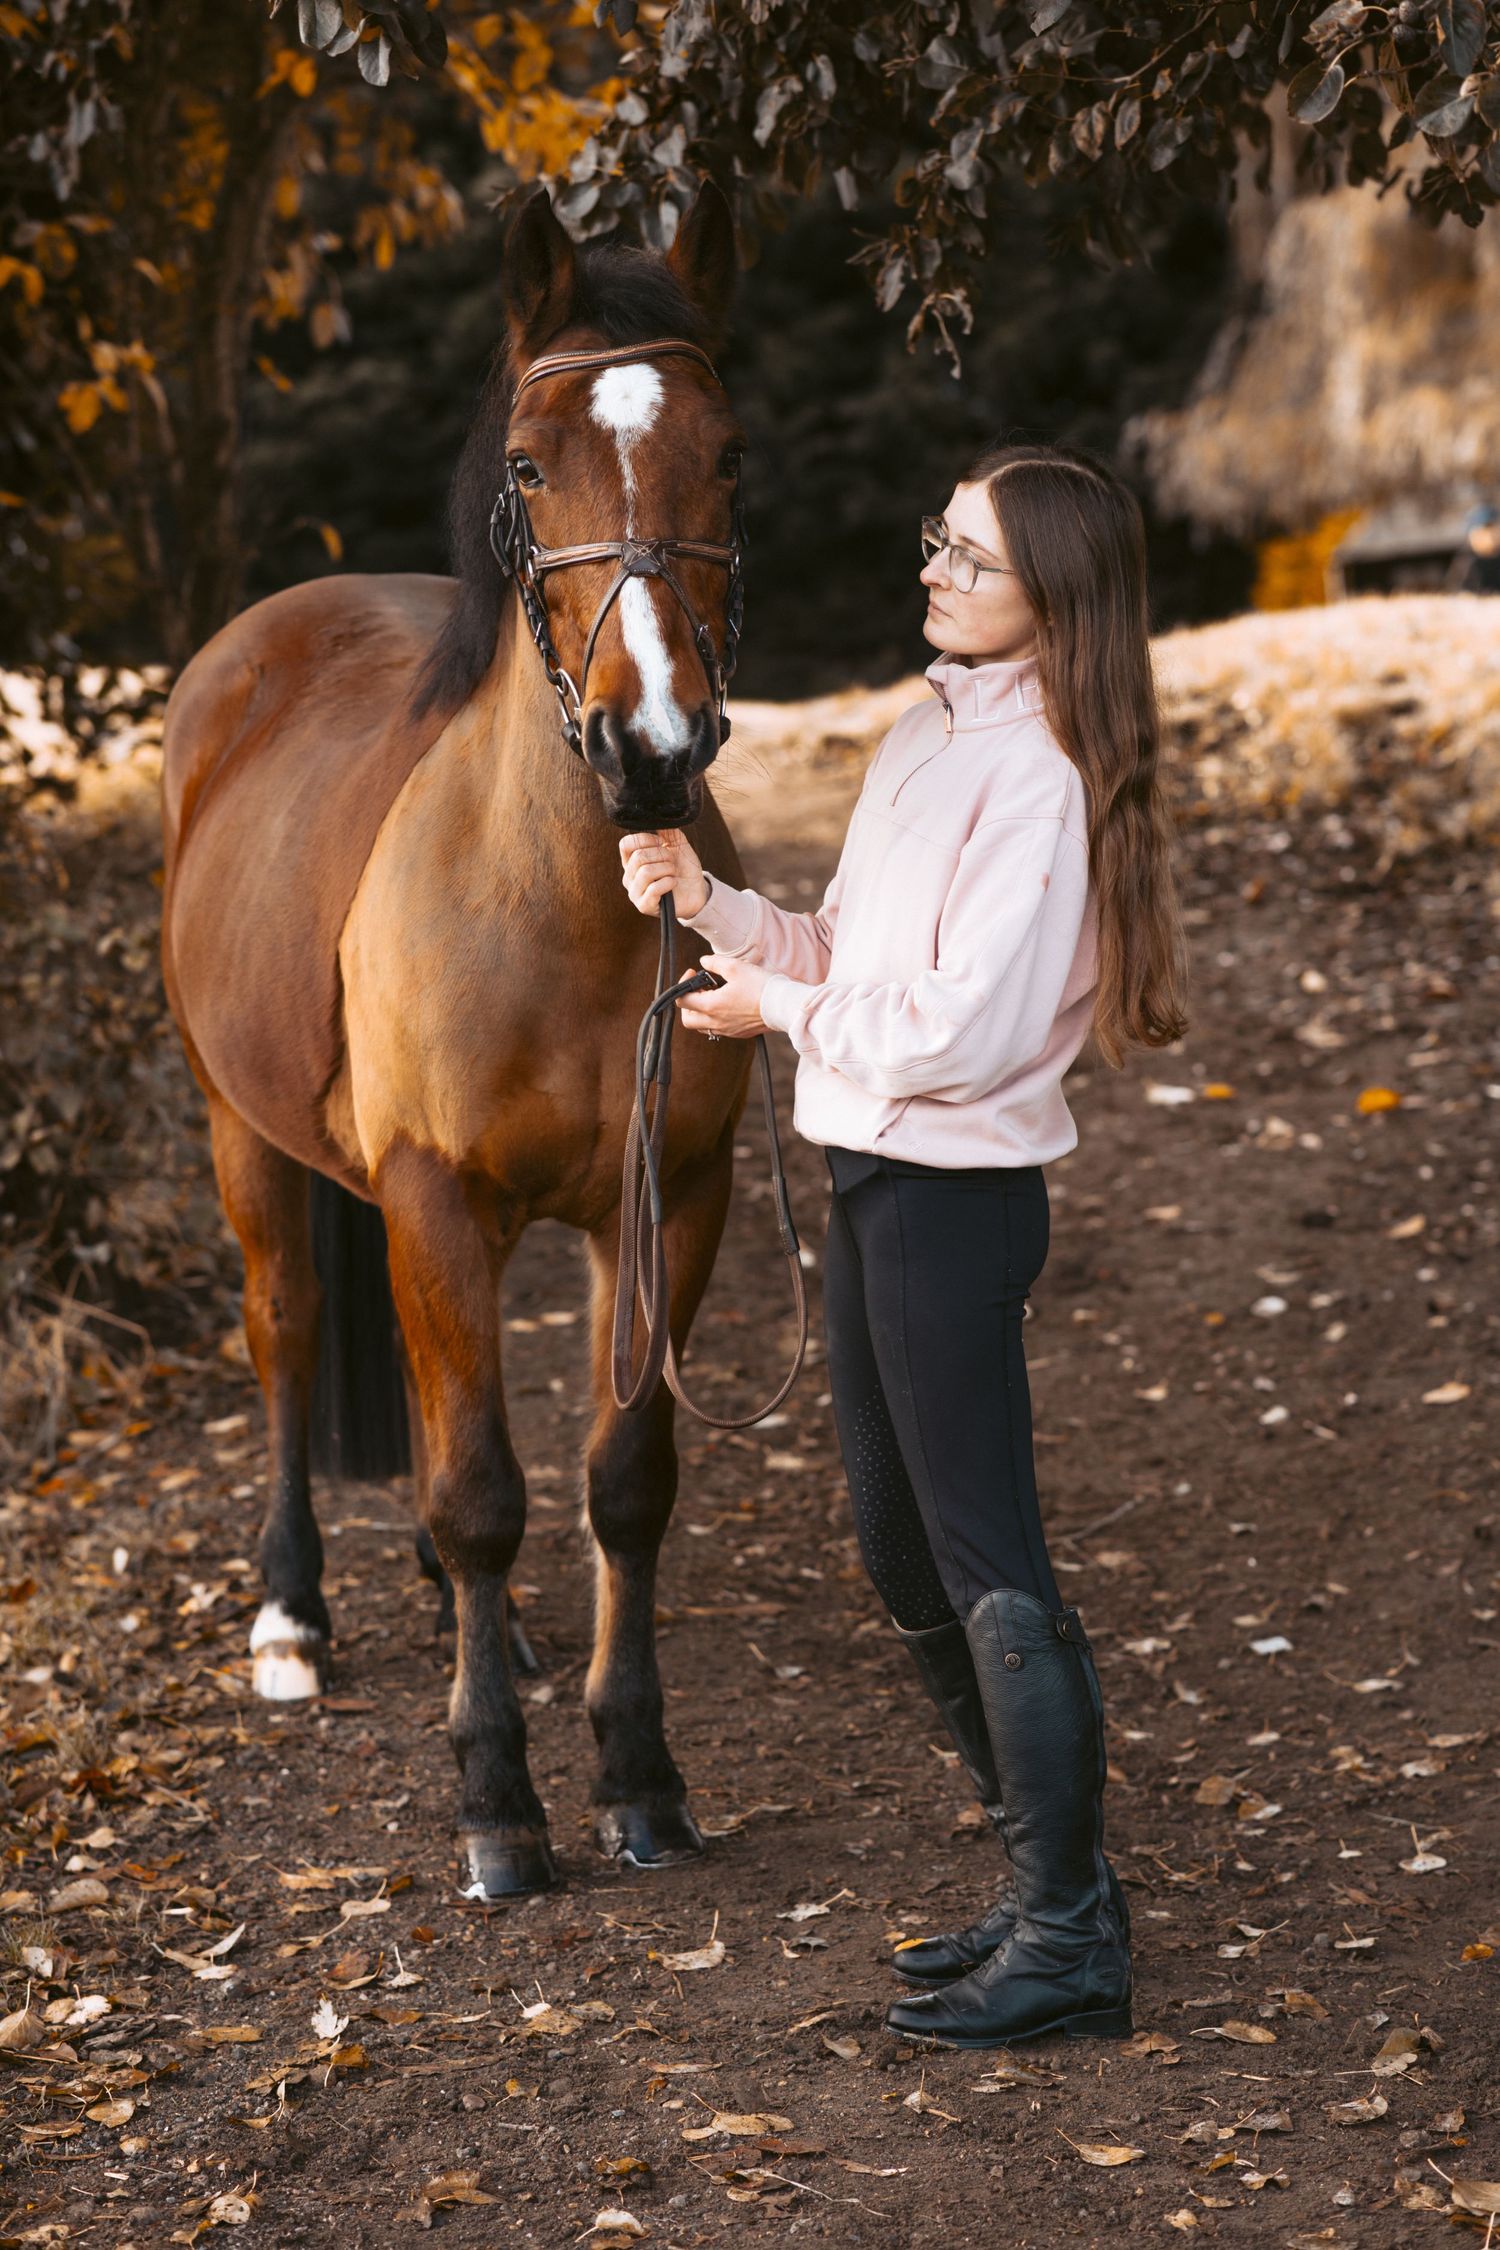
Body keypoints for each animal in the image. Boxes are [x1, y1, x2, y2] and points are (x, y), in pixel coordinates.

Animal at [159, 181, 761, 1901]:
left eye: (727, 452)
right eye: (527, 462)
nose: (651, 745)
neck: (557, 903)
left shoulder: (674, 1196)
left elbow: (625, 1481)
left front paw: (638, 1772)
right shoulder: (434, 1194)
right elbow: (485, 1489)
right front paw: (499, 1796)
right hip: (244, 1137)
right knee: (290, 1334)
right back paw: (294, 1616)